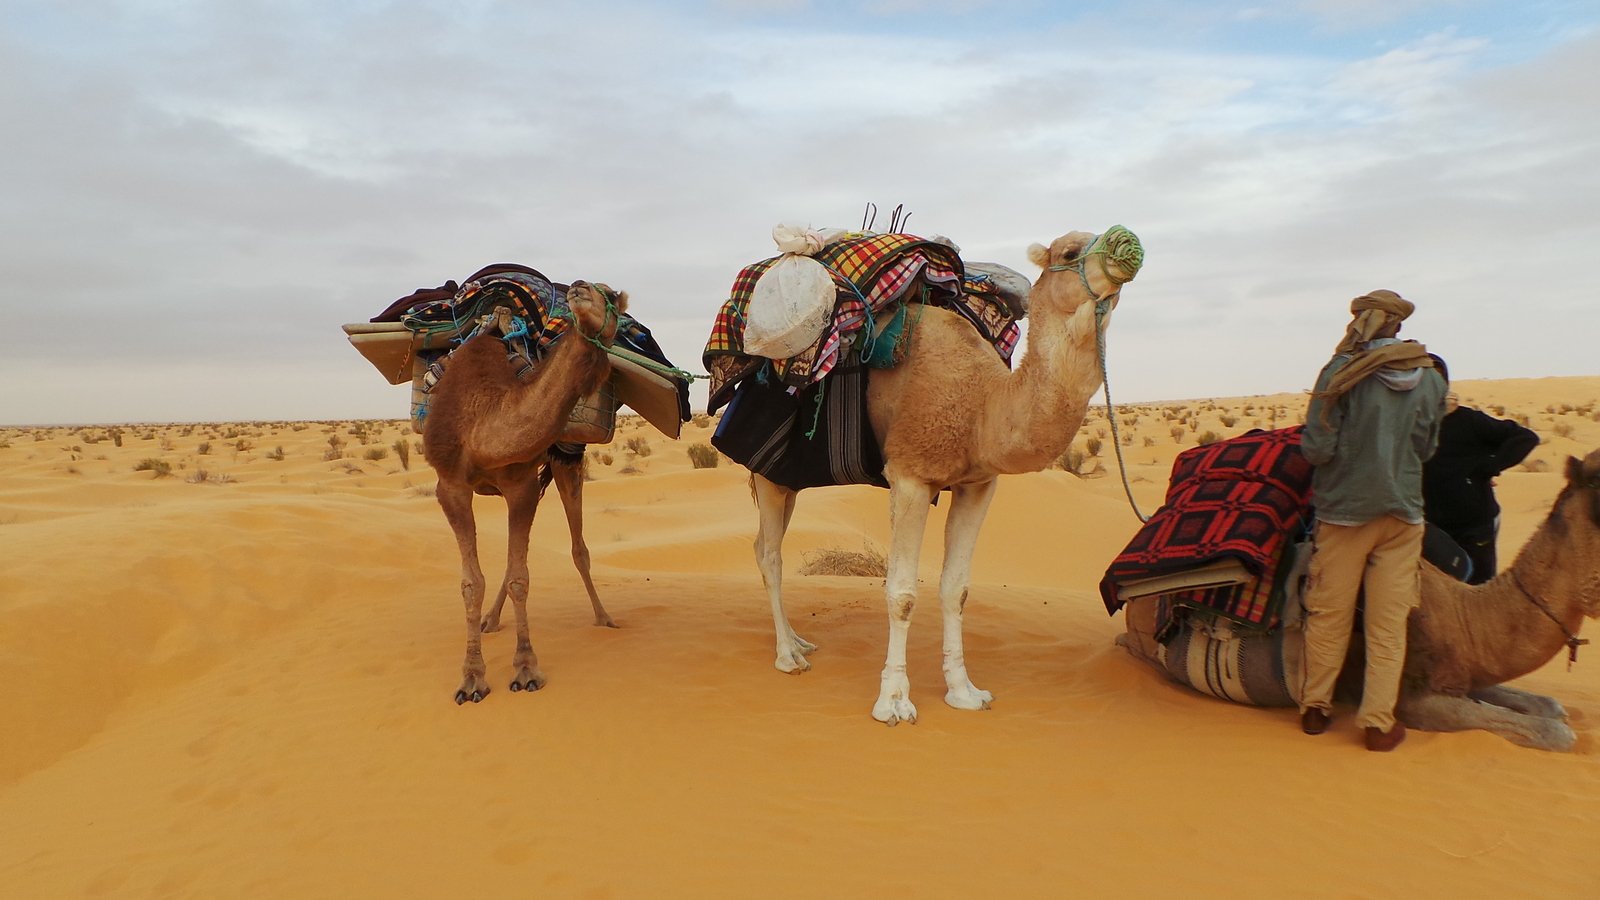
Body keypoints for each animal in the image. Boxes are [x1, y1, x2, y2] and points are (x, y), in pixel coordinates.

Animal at [419, 280, 624, 701]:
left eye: (611, 294)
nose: (579, 288)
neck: (481, 422)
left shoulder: (521, 485)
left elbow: (520, 578)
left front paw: (526, 669)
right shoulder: (451, 486)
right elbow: (471, 582)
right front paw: (471, 678)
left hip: (565, 463)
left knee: (579, 549)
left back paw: (604, 617)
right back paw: (489, 620)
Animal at [745, 225, 1139, 720]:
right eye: (1069, 251)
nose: (1126, 243)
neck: (982, 406)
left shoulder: (978, 484)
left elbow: (957, 589)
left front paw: (964, 691)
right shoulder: (910, 474)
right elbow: (901, 593)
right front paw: (893, 700)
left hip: (791, 478)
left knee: (767, 542)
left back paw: (799, 641)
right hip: (768, 467)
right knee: (770, 554)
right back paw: (788, 656)